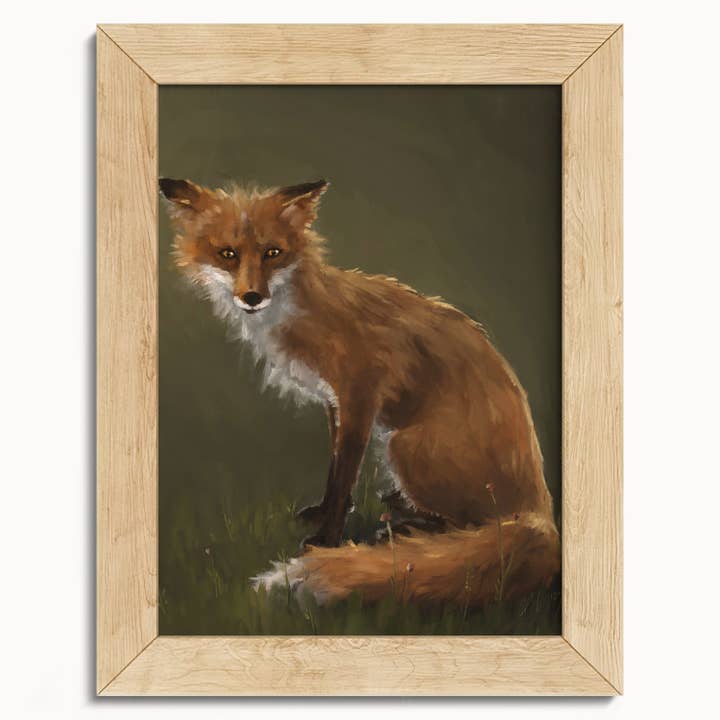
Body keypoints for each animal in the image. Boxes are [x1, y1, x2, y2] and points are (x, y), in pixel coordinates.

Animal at [159, 176, 560, 608]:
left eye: (273, 253)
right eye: (227, 254)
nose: (252, 297)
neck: (303, 311)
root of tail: (540, 509)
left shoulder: (360, 395)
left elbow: (343, 477)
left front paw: (325, 540)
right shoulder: (334, 401)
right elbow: (335, 470)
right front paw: (322, 514)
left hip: (403, 446)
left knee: (477, 527)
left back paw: (407, 527)